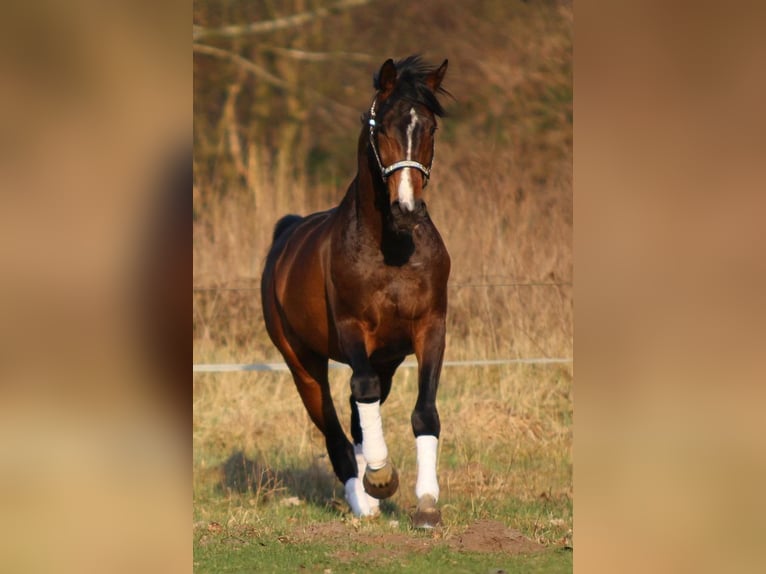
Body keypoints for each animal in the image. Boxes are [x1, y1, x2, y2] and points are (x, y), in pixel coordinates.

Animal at [262, 56, 450, 528]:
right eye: (380, 129)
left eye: (430, 129)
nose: (407, 209)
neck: (392, 249)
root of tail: (287, 232)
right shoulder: (351, 327)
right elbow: (361, 392)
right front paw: (381, 478)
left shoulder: (430, 328)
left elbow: (424, 411)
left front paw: (426, 503)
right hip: (302, 362)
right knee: (333, 426)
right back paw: (363, 499)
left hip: (387, 358)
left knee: (355, 413)